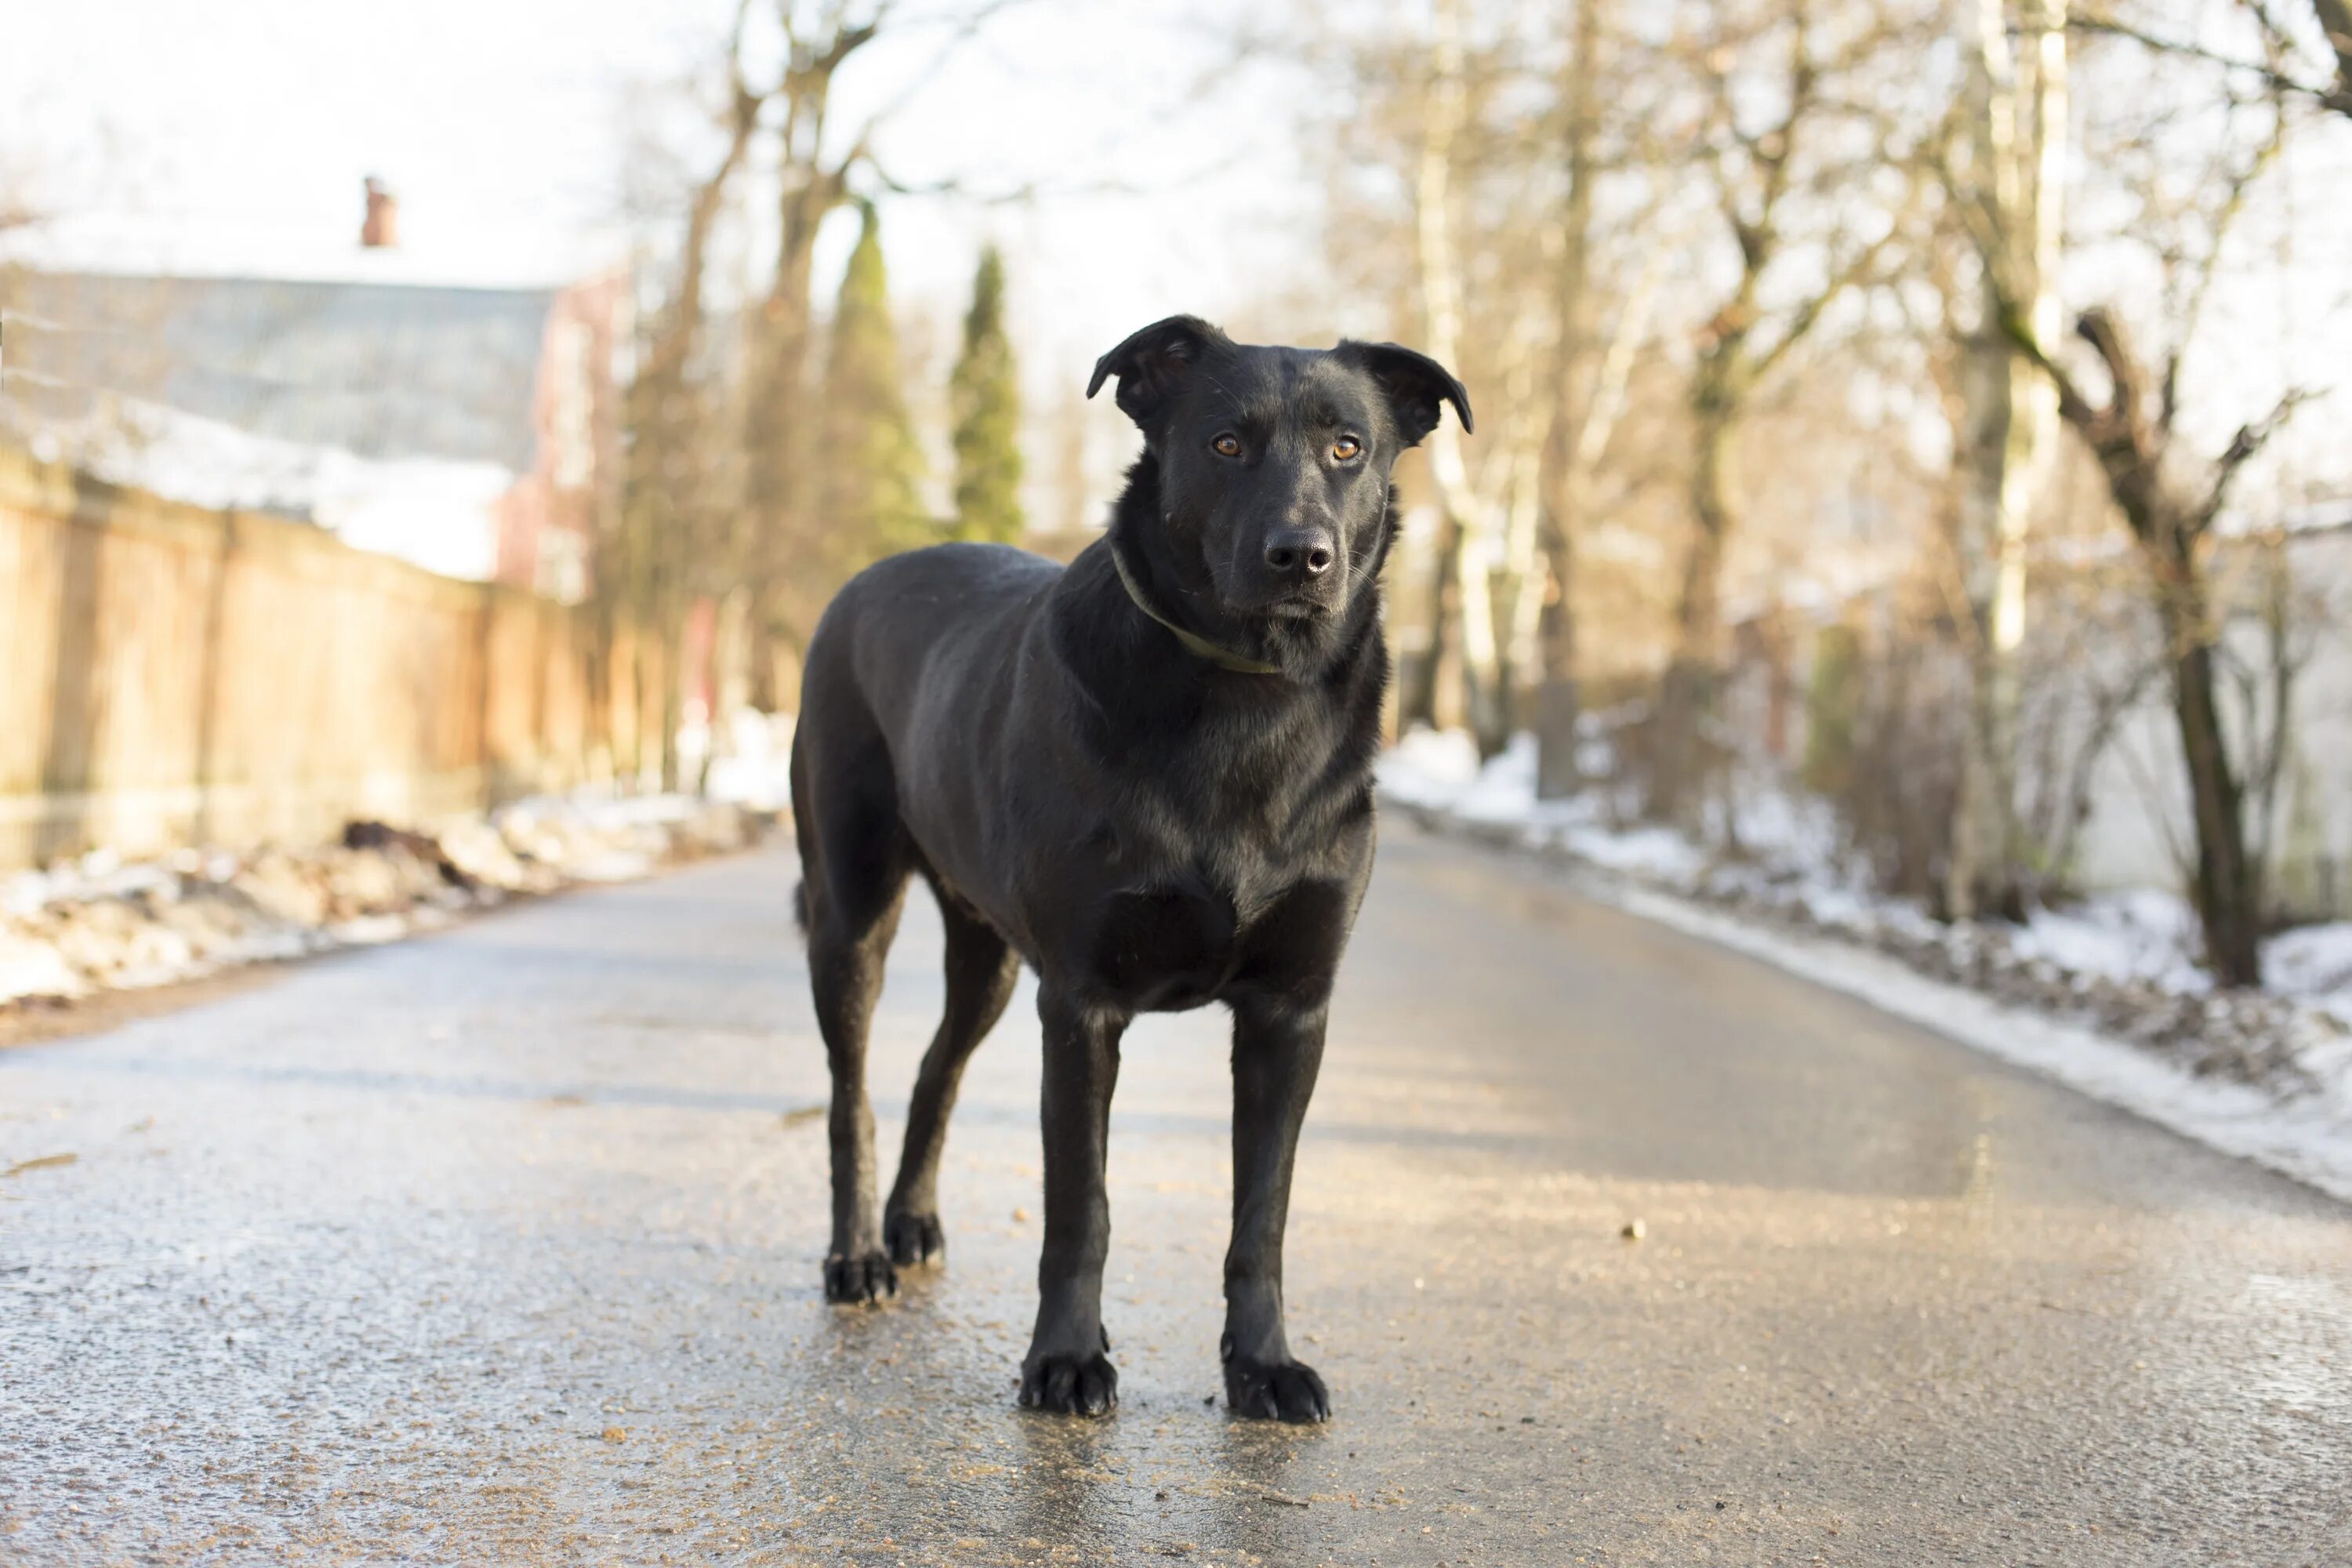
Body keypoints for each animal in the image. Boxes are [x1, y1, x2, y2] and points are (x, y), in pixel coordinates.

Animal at [800, 314, 1477, 1420]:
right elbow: (1082, 1207)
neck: (1251, 696)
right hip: (850, 910)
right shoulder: (1081, 1004)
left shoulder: (1291, 1010)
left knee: (938, 1068)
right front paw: (1067, 1359)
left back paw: (912, 1221)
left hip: (990, 958)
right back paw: (858, 1253)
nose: (1303, 555)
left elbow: (1262, 1215)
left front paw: (1263, 1365)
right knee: (851, 1089)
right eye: (1225, 443)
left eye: (1349, 447)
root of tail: (869, 575)